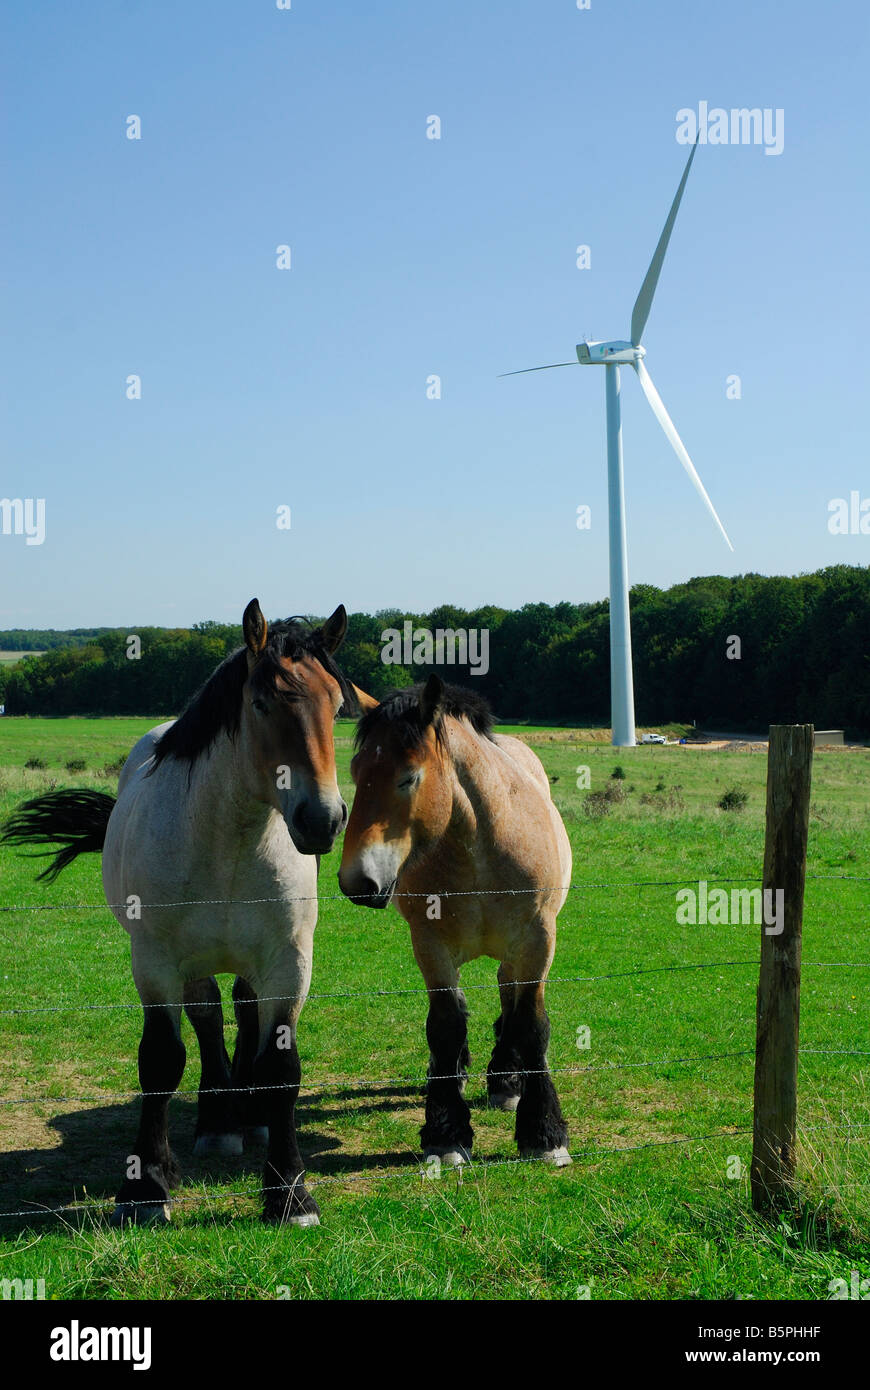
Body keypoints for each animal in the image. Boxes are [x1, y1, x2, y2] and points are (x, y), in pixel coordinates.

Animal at [0, 597, 353, 1228]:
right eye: (261, 703)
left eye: (337, 707)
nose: (323, 820)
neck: (230, 842)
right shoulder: (157, 963)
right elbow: (162, 1061)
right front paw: (146, 1186)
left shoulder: (289, 963)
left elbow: (282, 1070)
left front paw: (289, 1192)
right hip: (191, 964)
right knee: (208, 1018)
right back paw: (217, 1124)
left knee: (242, 1010)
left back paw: (250, 1119)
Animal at [334, 678, 572, 1167]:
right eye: (356, 771)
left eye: (408, 777)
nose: (357, 882)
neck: (479, 846)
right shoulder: (431, 945)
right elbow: (445, 1024)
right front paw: (446, 1133)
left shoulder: (537, 941)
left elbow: (532, 1024)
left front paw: (544, 1133)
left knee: (508, 995)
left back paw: (507, 1079)